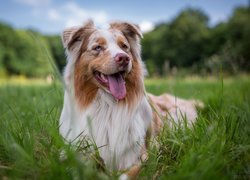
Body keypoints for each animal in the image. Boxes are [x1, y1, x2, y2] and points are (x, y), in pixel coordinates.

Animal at [59, 20, 203, 179]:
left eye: (124, 46)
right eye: (97, 47)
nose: (124, 58)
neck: (107, 105)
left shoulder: (141, 157)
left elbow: (125, 175)